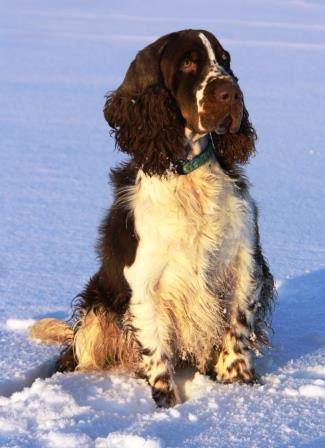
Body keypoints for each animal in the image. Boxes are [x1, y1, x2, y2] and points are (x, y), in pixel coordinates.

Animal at [29, 27, 274, 406]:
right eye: (188, 62)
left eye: (226, 60)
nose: (231, 92)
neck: (187, 175)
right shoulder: (144, 281)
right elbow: (155, 348)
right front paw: (165, 403)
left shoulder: (244, 262)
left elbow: (238, 327)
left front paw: (236, 385)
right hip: (98, 309)